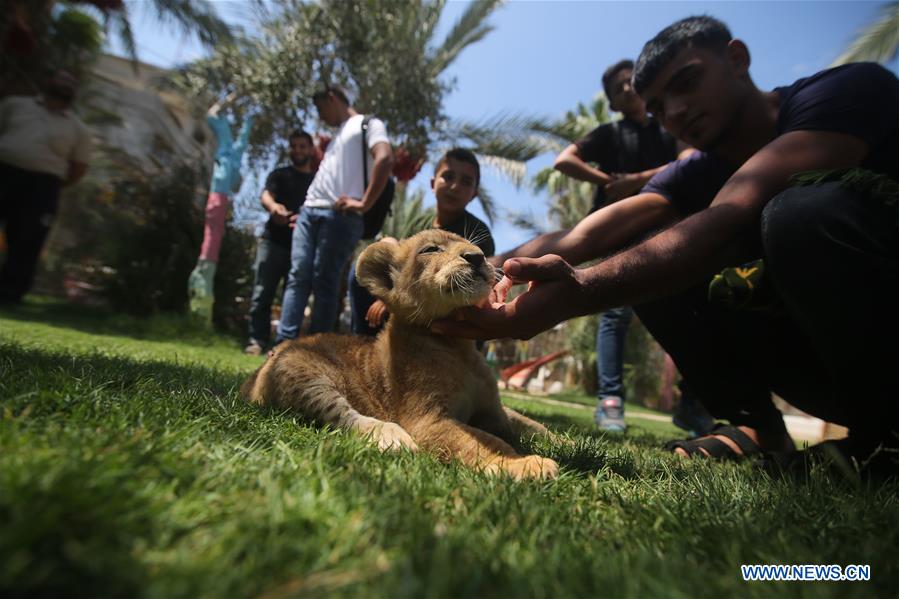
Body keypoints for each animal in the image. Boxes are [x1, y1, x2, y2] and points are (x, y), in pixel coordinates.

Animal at [241, 229, 560, 480]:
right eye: (431, 249)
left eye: (472, 245)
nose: (478, 256)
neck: (458, 347)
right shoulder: (425, 421)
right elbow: (481, 442)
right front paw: (521, 465)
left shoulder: (494, 410)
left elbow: (530, 424)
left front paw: (565, 443)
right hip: (302, 373)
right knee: (341, 414)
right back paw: (393, 438)